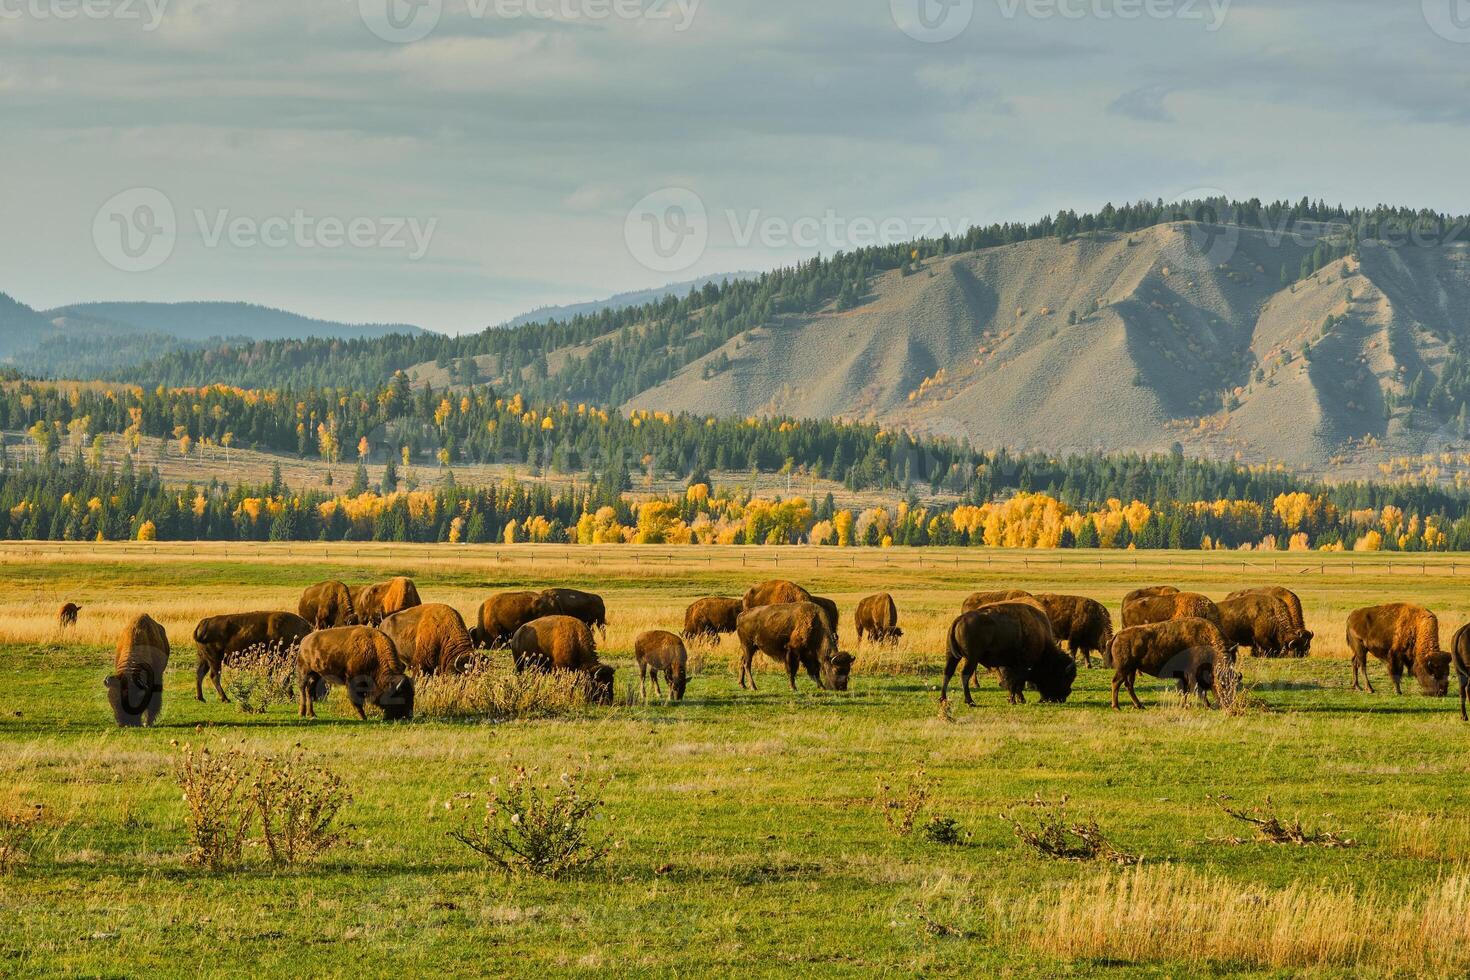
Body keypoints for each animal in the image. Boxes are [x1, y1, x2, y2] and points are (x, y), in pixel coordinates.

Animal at [940, 602, 1081, 708]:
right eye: (1064, 677)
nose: (1063, 697)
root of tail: (958, 620)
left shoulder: (1009, 665)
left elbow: (1013, 682)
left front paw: (1016, 699)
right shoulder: (1022, 665)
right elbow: (1016, 682)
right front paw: (1016, 700)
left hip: (952, 656)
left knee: (948, 672)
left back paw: (943, 699)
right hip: (971, 658)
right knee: (964, 674)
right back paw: (970, 702)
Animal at [1105, 617, 1234, 708]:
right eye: (1222, 683)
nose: (1228, 702)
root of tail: (1117, 635)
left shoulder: (1184, 676)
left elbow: (1185, 691)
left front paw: (1185, 705)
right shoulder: (1192, 674)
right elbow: (1198, 690)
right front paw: (1207, 706)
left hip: (1131, 669)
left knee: (1128, 685)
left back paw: (1139, 706)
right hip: (1124, 669)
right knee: (1116, 682)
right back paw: (1116, 706)